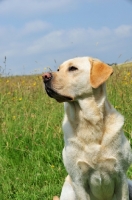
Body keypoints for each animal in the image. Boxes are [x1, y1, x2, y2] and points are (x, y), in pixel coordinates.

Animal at [42, 57, 132, 199]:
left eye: (73, 68)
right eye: (58, 69)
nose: (44, 76)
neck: (89, 123)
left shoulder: (121, 177)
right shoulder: (78, 182)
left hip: (130, 183)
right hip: (69, 190)